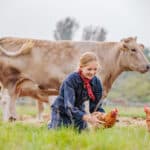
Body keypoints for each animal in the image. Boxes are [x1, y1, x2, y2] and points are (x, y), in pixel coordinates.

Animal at [0, 35, 149, 120]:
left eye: (141, 49)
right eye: (133, 49)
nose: (147, 66)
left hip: (16, 85)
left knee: (12, 100)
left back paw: (13, 119)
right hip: (7, 83)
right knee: (6, 100)